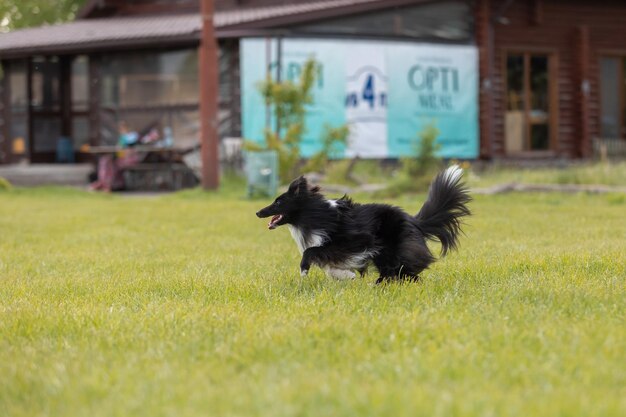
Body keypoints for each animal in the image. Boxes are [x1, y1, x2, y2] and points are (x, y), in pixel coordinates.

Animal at [254, 165, 468, 282]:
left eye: (278, 202)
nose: (257, 212)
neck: (314, 213)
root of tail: (414, 221)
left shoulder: (353, 240)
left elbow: (312, 251)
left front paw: (304, 270)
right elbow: (327, 263)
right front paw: (344, 275)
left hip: (392, 248)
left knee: (401, 269)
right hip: (385, 253)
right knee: (399, 272)